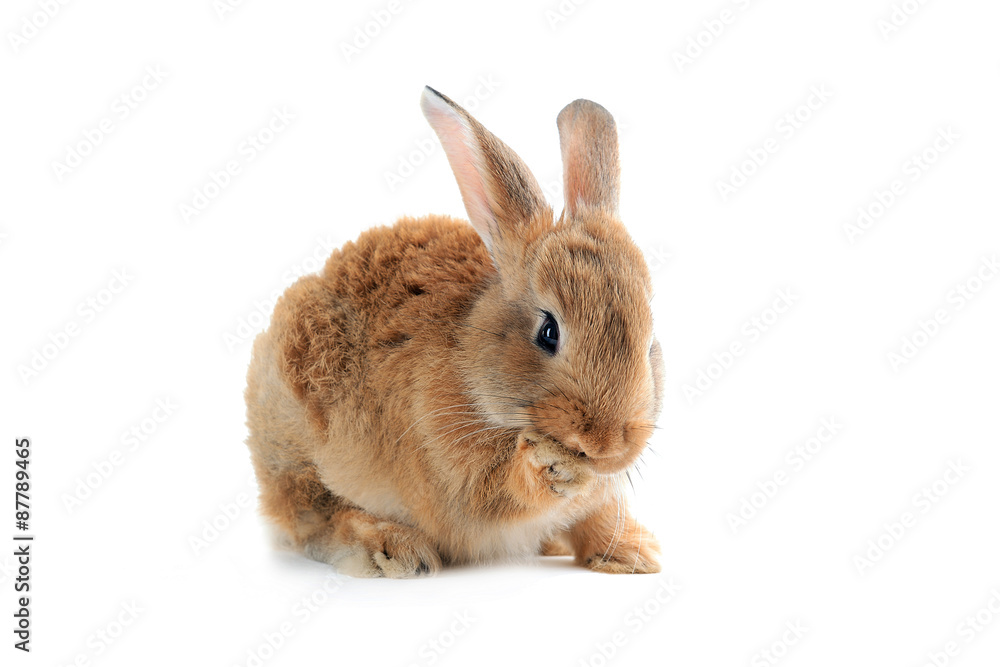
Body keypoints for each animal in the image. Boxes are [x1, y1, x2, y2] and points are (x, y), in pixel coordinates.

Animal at [244, 86, 665, 578]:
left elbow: (596, 514)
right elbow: (502, 492)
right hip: (297, 448)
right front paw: (548, 469)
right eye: (548, 332)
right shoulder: (454, 473)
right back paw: (392, 548)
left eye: (649, 340)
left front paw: (634, 555)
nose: (607, 443)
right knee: (316, 517)